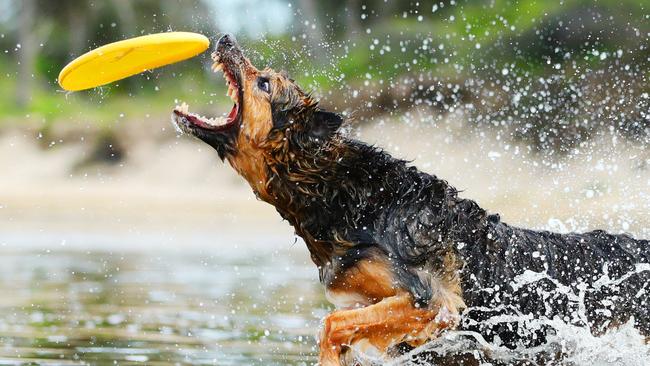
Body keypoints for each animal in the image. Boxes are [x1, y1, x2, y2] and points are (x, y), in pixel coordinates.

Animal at [172, 33, 648, 364]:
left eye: (265, 82)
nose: (225, 39)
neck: (353, 198)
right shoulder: (380, 307)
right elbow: (344, 325)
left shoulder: (433, 302)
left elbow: (331, 324)